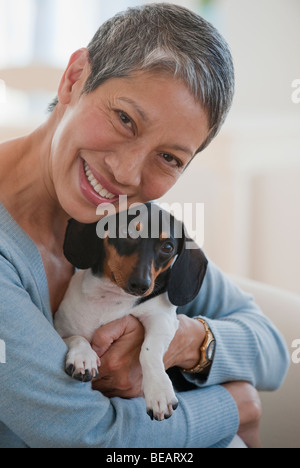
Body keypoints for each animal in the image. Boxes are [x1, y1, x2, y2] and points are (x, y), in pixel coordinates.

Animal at [55, 203, 207, 422]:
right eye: (127, 232)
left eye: (168, 247)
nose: (141, 285)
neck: (112, 298)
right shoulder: (60, 326)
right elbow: (76, 337)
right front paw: (83, 357)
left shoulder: (163, 319)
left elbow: (148, 351)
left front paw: (159, 391)